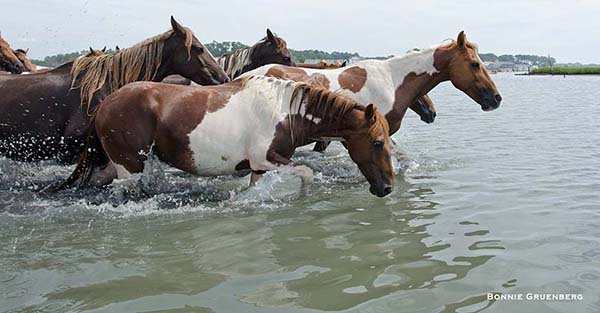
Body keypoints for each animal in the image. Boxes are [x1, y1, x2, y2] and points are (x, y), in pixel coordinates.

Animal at [52, 75, 394, 196]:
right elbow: (307, 173)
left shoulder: (259, 167)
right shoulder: (266, 159)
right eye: (377, 143)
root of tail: (104, 103)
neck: (285, 111)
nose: (387, 188)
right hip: (129, 167)